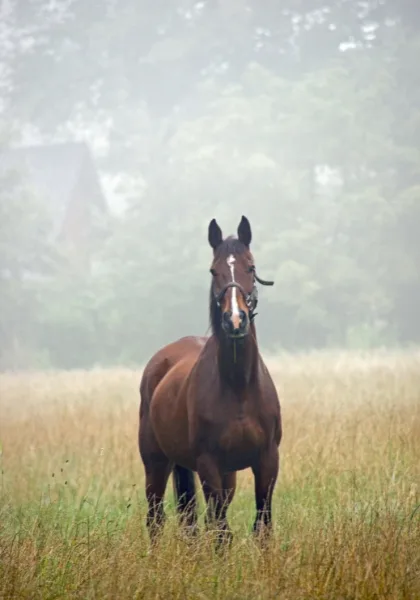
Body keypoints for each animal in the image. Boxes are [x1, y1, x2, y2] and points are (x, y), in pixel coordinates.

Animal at [139, 216, 282, 544]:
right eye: (213, 270)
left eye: (251, 267)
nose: (235, 320)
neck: (238, 388)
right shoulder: (208, 464)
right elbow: (220, 531)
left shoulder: (267, 461)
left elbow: (262, 526)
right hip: (156, 463)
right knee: (156, 519)